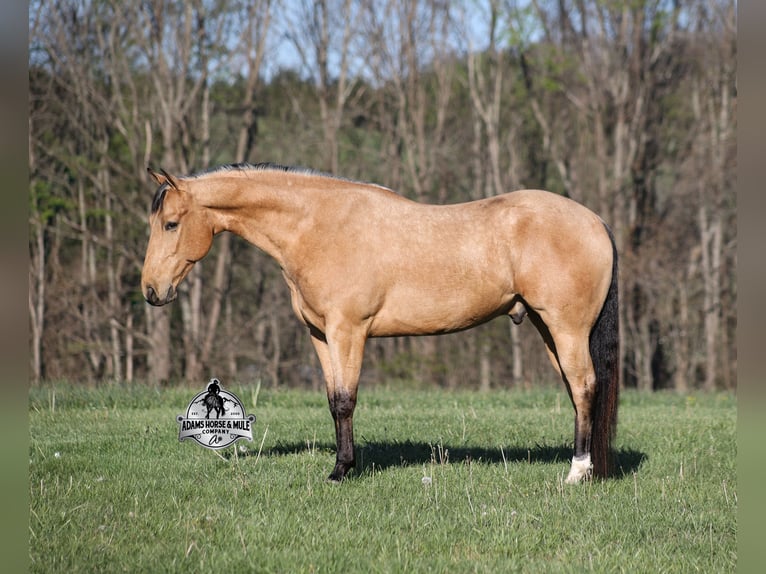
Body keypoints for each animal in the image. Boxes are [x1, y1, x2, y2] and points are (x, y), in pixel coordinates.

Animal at [141, 162, 619, 484]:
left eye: (171, 224)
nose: (151, 290)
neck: (320, 226)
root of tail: (595, 220)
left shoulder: (349, 331)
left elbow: (346, 400)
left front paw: (341, 472)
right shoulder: (321, 336)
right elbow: (332, 400)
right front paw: (341, 465)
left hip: (566, 328)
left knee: (583, 387)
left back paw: (577, 473)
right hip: (548, 329)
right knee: (578, 391)